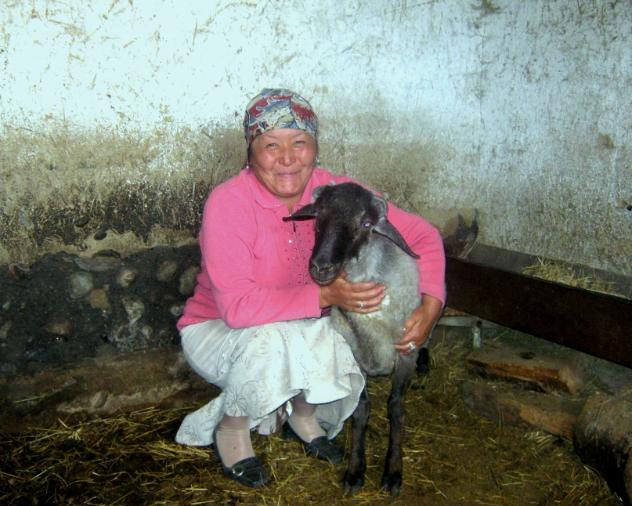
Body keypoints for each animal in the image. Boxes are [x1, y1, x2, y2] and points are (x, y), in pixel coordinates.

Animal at [285, 182, 422, 495]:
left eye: (367, 224)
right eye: (318, 215)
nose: (321, 266)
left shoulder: (405, 354)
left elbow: (396, 407)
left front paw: (393, 472)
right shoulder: (354, 354)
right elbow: (361, 410)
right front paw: (355, 471)